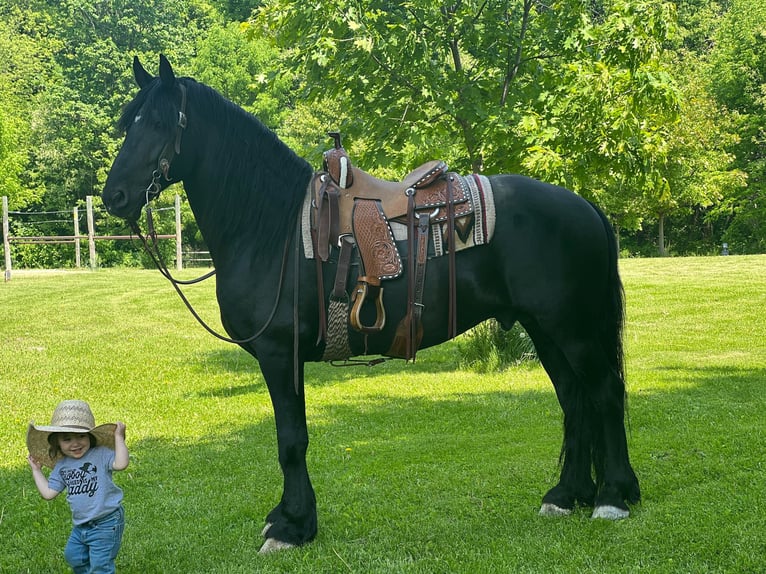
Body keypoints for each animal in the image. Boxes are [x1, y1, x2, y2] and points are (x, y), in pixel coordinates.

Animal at [102, 56, 640, 556]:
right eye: (129, 123)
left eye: (158, 123)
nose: (114, 196)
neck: (271, 227)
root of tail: (585, 205)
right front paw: (291, 519)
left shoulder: (280, 354)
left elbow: (290, 439)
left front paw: (292, 526)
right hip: (545, 330)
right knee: (574, 400)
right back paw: (566, 495)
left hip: (571, 329)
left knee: (605, 393)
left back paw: (613, 497)